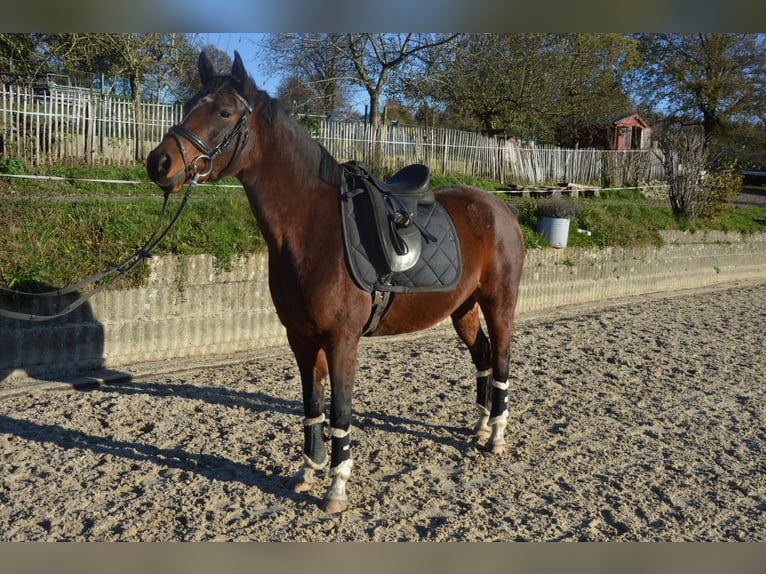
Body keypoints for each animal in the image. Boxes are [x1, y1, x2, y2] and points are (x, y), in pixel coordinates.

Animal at [147, 51, 524, 516]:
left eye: (223, 112)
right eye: (187, 106)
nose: (159, 163)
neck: (312, 229)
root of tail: (500, 207)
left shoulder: (342, 339)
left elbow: (341, 411)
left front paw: (337, 486)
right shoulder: (301, 338)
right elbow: (312, 405)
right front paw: (308, 471)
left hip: (499, 303)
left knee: (502, 360)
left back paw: (497, 434)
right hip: (463, 309)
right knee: (483, 357)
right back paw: (480, 425)